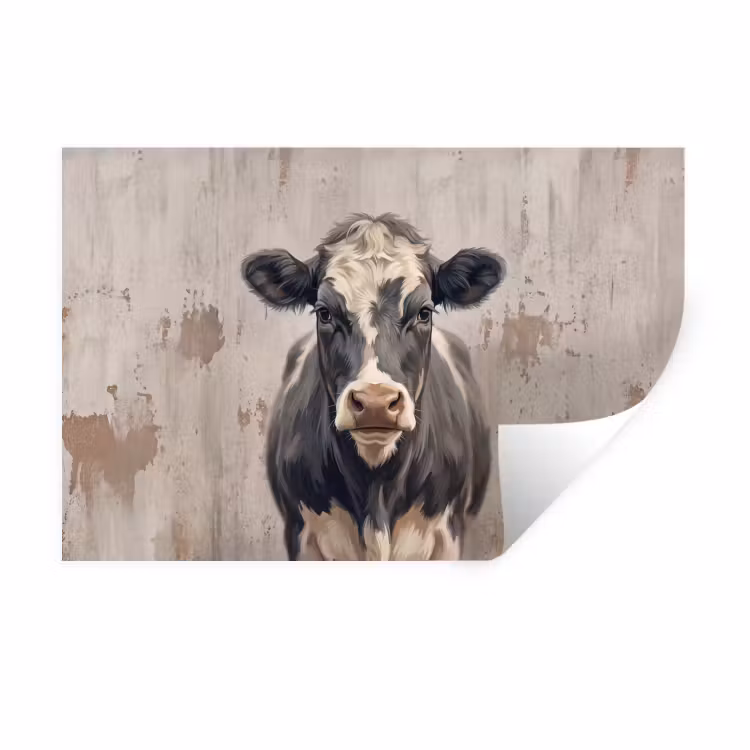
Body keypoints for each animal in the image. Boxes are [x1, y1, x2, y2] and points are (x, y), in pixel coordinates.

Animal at [241, 213, 506, 560]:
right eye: (324, 313)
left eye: (424, 312)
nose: (376, 402)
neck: (376, 490)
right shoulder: (300, 534)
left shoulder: (448, 533)